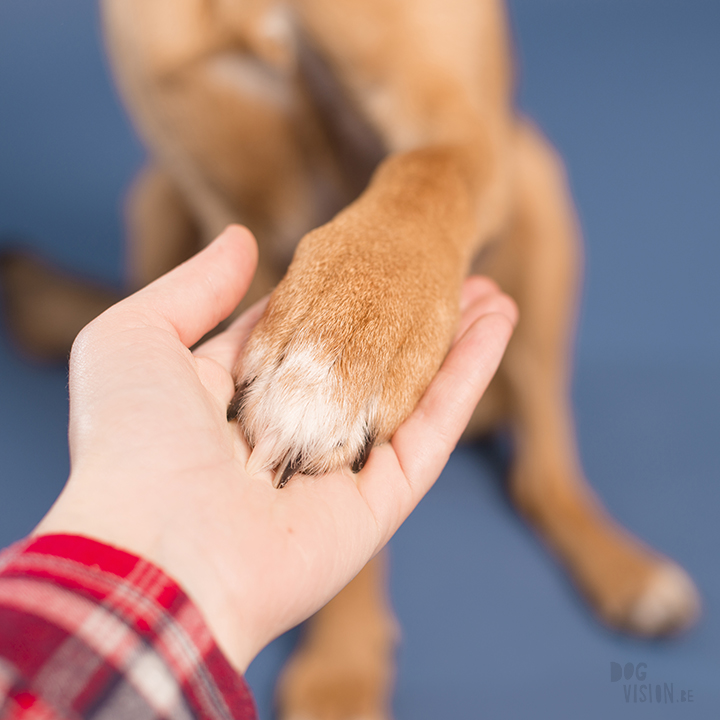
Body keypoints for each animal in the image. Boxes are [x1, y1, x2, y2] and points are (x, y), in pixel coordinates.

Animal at [0, 1, 696, 720]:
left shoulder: (458, 121)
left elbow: (424, 178)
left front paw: (341, 343)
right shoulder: (236, 211)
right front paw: (341, 667)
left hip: (539, 187)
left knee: (542, 471)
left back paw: (630, 572)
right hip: (154, 199)